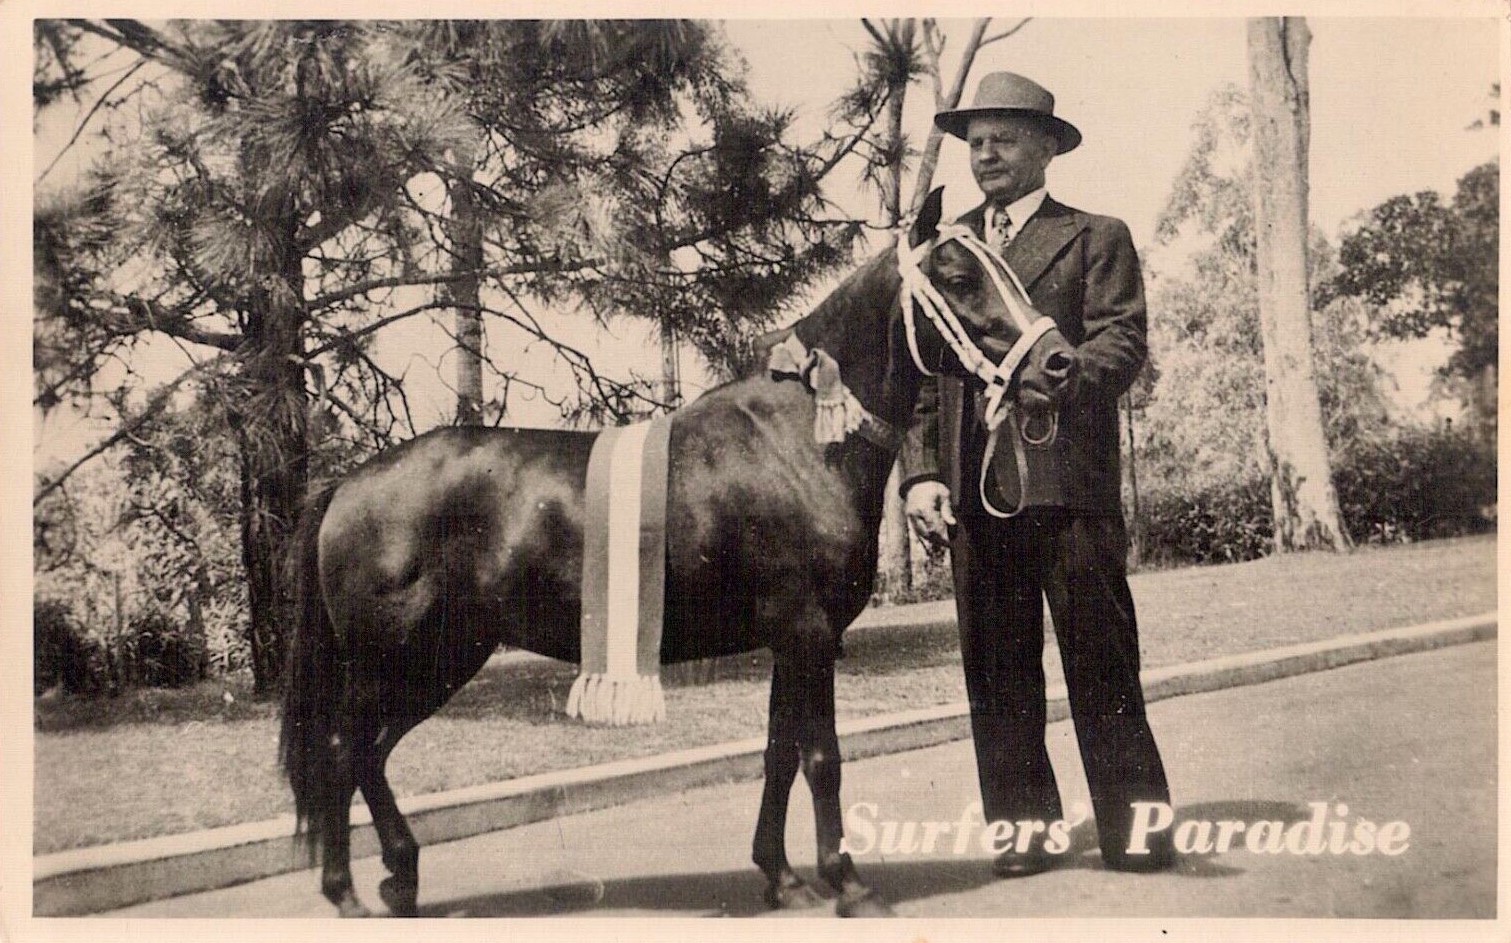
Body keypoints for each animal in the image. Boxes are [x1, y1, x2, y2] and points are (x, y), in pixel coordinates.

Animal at [279, 189, 1077, 918]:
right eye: (959, 275)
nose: (1059, 362)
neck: (799, 441)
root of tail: (349, 484)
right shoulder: (809, 632)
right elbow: (821, 757)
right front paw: (847, 883)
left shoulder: (790, 642)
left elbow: (779, 752)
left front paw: (780, 876)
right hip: (400, 658)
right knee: (345, 748)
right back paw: (350, 890)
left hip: (442, 658)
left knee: (368, 751)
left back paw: (397, 878)